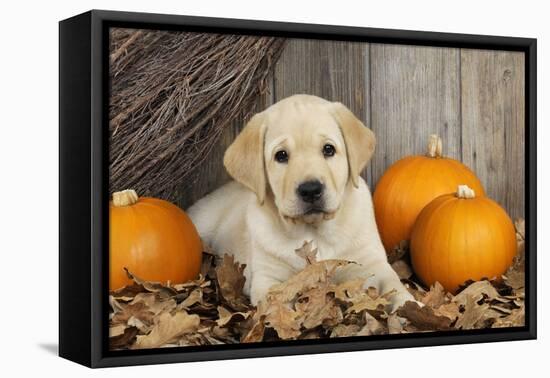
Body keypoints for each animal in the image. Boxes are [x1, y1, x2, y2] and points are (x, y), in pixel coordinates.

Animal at [188, 94, 416, 310]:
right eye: (281, 155)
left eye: (328, 149)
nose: (311, 190)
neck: (315, 233)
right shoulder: (268, 278)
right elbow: (277, 305)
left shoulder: (372, 263)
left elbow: (394, 285)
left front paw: (408, 307)